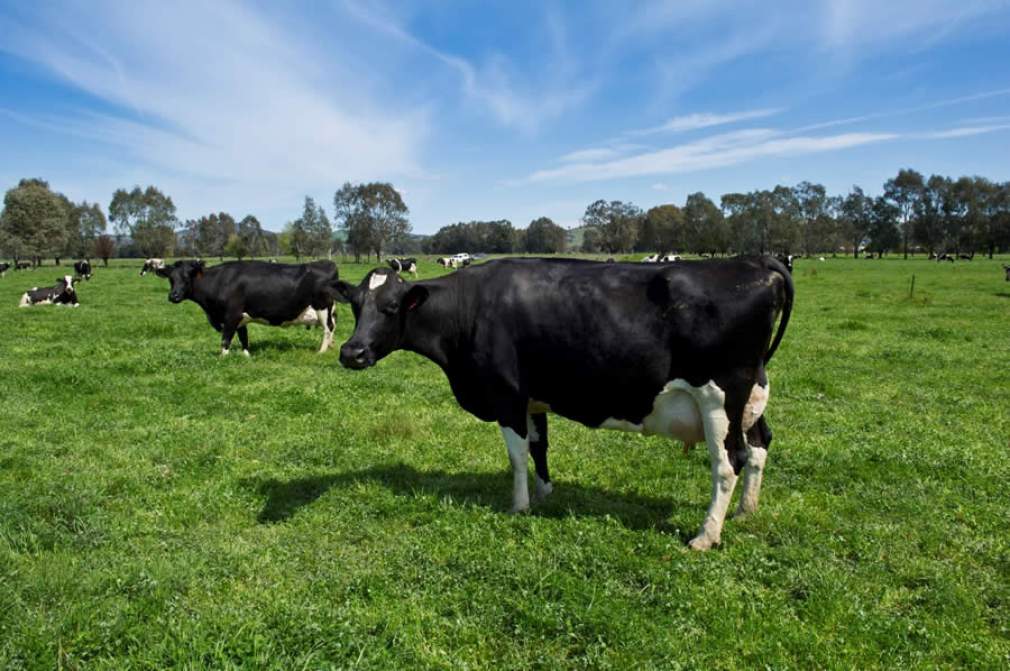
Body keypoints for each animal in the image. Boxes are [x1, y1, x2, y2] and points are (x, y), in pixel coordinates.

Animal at [156, 259, 344, 356]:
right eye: (171, 278)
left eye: (187, 277)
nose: (174, 296)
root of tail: (328, 263)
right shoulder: (241, 317)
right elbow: (244, 339)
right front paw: (247, 357)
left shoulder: (231, 315)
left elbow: (225, 340)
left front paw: (223, 358)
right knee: (333, 327)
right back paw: (330, 346)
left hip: (322, 307)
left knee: (328, 328)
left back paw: (321, 352)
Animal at [336, 257, 793, 550]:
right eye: (355, 306)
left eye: (390, 308)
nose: (351, 353)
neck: (470, 309)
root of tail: (753, 262)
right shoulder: (534, 399)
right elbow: (540, 447)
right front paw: (544, 494)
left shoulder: (507, 394)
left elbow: (517, 455)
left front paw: (519, 506)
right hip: (751, 395)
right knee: (759, 445)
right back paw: (746, 511)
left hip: (719, 397)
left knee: (729, 461)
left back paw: (705, 535)